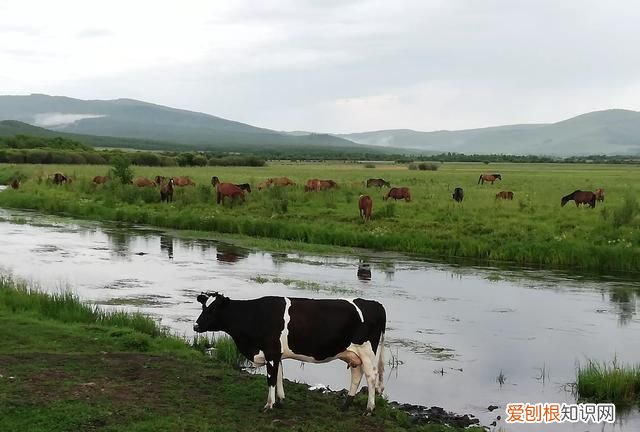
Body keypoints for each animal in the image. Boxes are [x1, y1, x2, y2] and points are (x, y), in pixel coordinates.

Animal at [194, 292, 384, 414]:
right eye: (203, 307)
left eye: (213, 309)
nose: (196, 326)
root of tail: (375, 304)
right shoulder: (275, 354)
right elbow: (279, 376)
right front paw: (280, 401)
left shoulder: (270, 352)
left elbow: (271, 379)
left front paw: (269, 405)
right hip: (353, 354)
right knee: (357, 375)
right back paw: (345, 406)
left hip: (367, 351)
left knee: (371, 376)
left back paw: (369, 409)